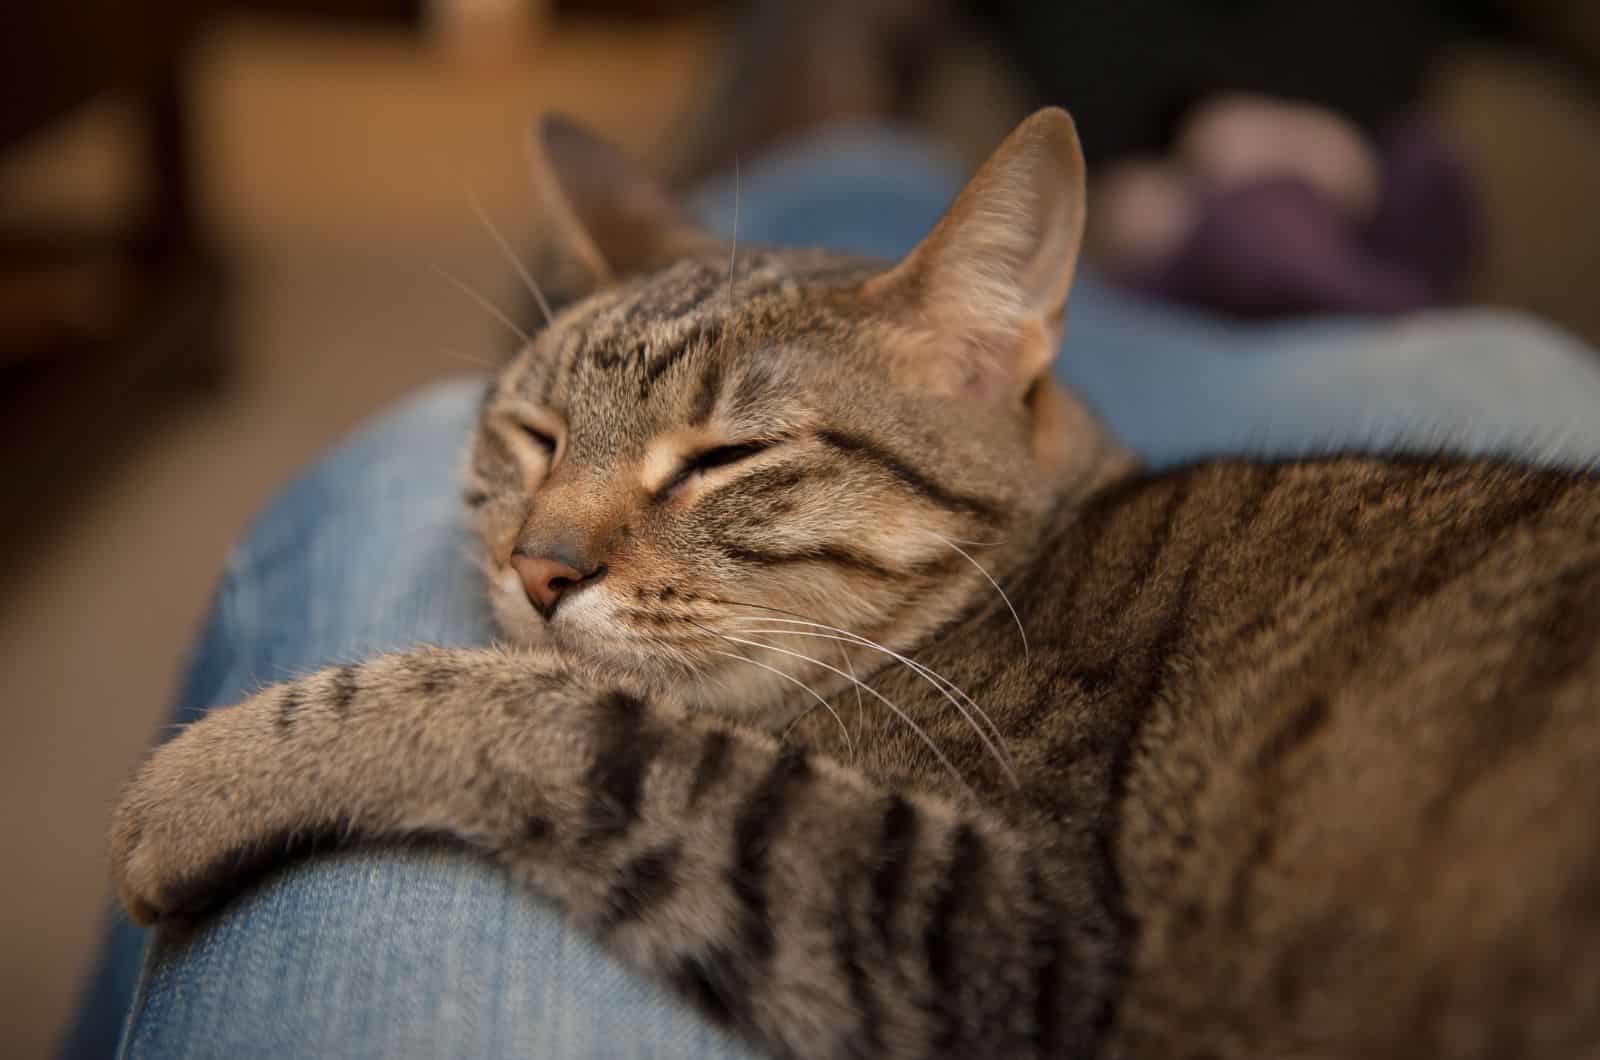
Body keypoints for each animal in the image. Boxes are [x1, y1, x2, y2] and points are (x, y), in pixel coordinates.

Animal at [112, 109, 1600, 1060]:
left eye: (724, 458)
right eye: (531, 435)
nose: (538, 567)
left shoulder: (999, 921)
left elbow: (540, 713)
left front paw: (199, 781)